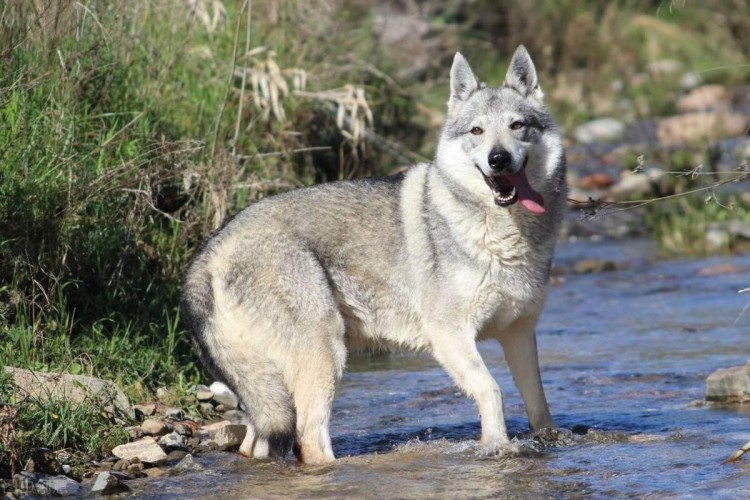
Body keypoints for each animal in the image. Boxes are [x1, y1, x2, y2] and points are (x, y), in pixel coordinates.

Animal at [184, 47, 568, 464]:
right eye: (477, 132)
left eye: (517, 125)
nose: (498, 159)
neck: (502, 234)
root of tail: (210, 250)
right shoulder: (449, 334)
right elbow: (491, 389)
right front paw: (497, 446)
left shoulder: (519, 333)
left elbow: (539, 403)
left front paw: (550, 442)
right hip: (325, 355)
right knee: (310, 441)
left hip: (274, 392)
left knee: (255, 444)